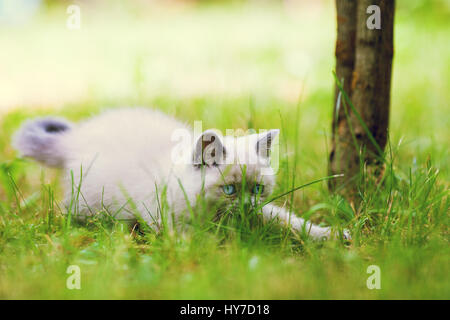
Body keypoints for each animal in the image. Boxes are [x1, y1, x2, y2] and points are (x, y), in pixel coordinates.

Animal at [12, 107, 346, 240]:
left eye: (257, 190)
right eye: (229, 190)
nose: (246, 208)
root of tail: (73, 138)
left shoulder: (263, 211)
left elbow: (291, 221)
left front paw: (331, 235)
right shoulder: (167, 223)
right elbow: (197, 240)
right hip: (91, 200)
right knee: (72, 213)